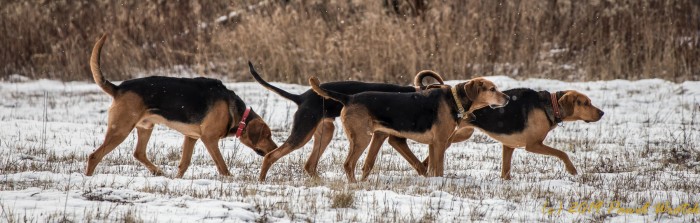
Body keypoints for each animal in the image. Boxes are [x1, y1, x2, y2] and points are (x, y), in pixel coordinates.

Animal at [249, 61, 446, 180]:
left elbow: (369, 164)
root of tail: (301, 97)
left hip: (326, 133)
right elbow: (419, 163)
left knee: (309, 165)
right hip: (302, 134)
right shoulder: (393, 138)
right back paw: (262, 180)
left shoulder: (379, 136)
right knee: (270, 156)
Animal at [308, 76, 506, 181]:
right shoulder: (440, 143)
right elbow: (439, 169)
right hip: (362, 138)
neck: (454, 99)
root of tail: (348, 98)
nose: (507, 99)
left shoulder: (434, 145)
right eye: (492, 89)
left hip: (365, 138)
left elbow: (431, 169)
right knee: (348, 164)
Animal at [364, 88, 604, 180]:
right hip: (453, 136)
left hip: (458, 135)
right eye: (585, 103)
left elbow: (506, 170)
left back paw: (423, 169)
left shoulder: (509, 146)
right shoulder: (533, 145)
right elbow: (563, 153)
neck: (549, 105)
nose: (602, 113)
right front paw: (573, 171)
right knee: (401, 143)